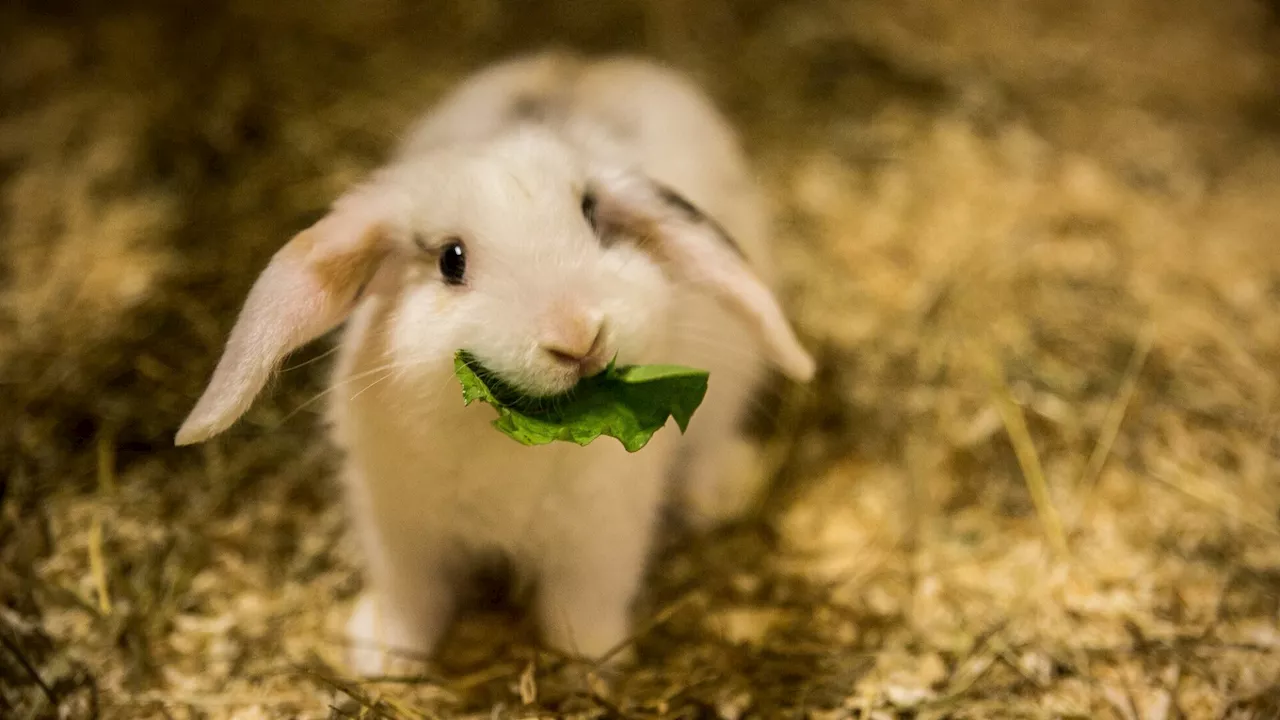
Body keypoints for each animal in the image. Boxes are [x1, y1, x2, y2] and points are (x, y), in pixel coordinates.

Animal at [175, 51, 814, 671]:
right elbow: (412, 602)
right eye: (451, 260)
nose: (578, 333)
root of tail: (588, 62)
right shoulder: (402, 534)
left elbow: (578, 613)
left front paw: (592, 663)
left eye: (592, 217)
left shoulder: (598, 542)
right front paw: (381, 657)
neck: (503, 434)